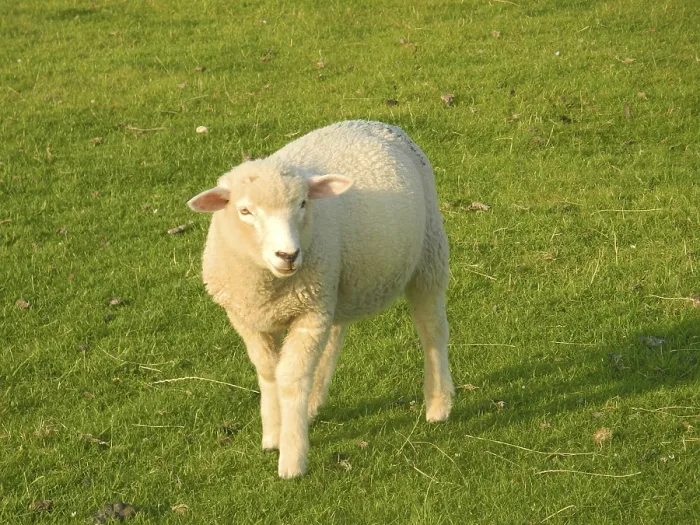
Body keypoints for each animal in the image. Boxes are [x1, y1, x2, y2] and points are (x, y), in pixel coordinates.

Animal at [187, 120, 454, 478]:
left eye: (302, 204)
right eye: (244, 211)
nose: (288, 255)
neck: (269, 285)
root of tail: (376, 123)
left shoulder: (308, 314)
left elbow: (290, 378)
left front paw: (292, 457)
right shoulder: (248, 318)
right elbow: (268, 372)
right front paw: (274, 433)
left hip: (428, 255)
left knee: (432, 330)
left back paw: (438, 403)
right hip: (333, 285)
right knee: (333, 339)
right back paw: (312, 405)